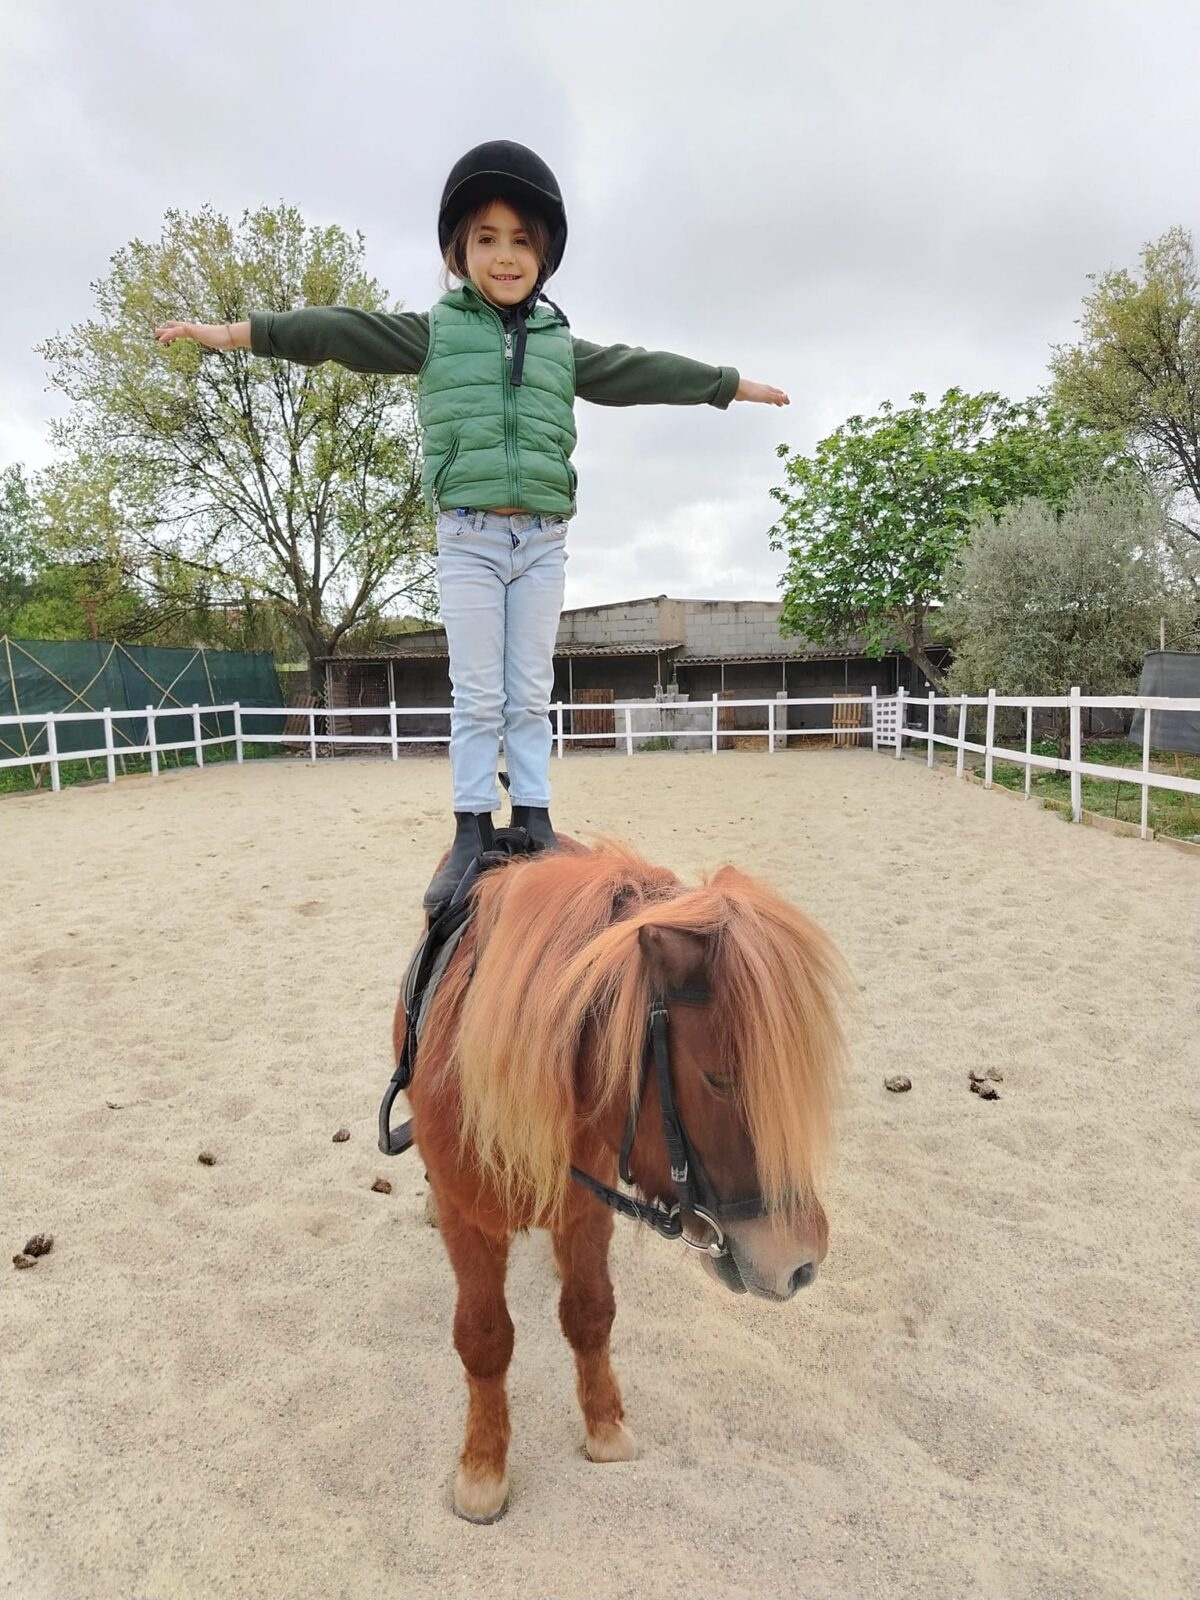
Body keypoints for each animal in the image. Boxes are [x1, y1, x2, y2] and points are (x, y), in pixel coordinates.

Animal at [393, 838, 849, 1523]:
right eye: (719, 1079)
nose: (801, 1262)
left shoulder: (589, 1210)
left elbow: (591, 1313)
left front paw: (604, 1427)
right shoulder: (469, 1219)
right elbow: (483, 1338)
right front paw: (483, 1468)